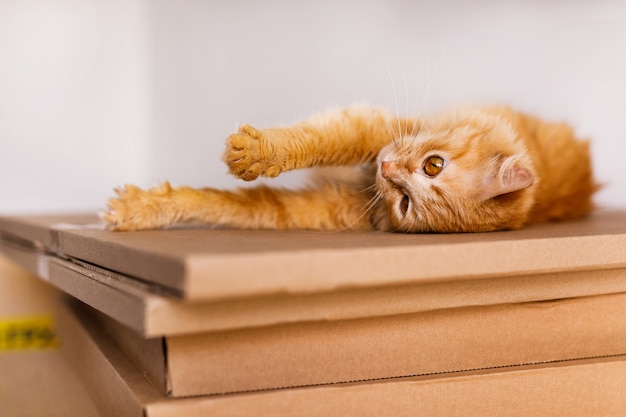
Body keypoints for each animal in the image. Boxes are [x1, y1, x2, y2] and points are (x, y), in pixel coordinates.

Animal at [102, 105, 596, 232]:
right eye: (434, 165)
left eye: (405, 204)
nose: (387, 167)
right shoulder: (374, 128)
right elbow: (319, 142)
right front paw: (257, 153)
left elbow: (231, 206)